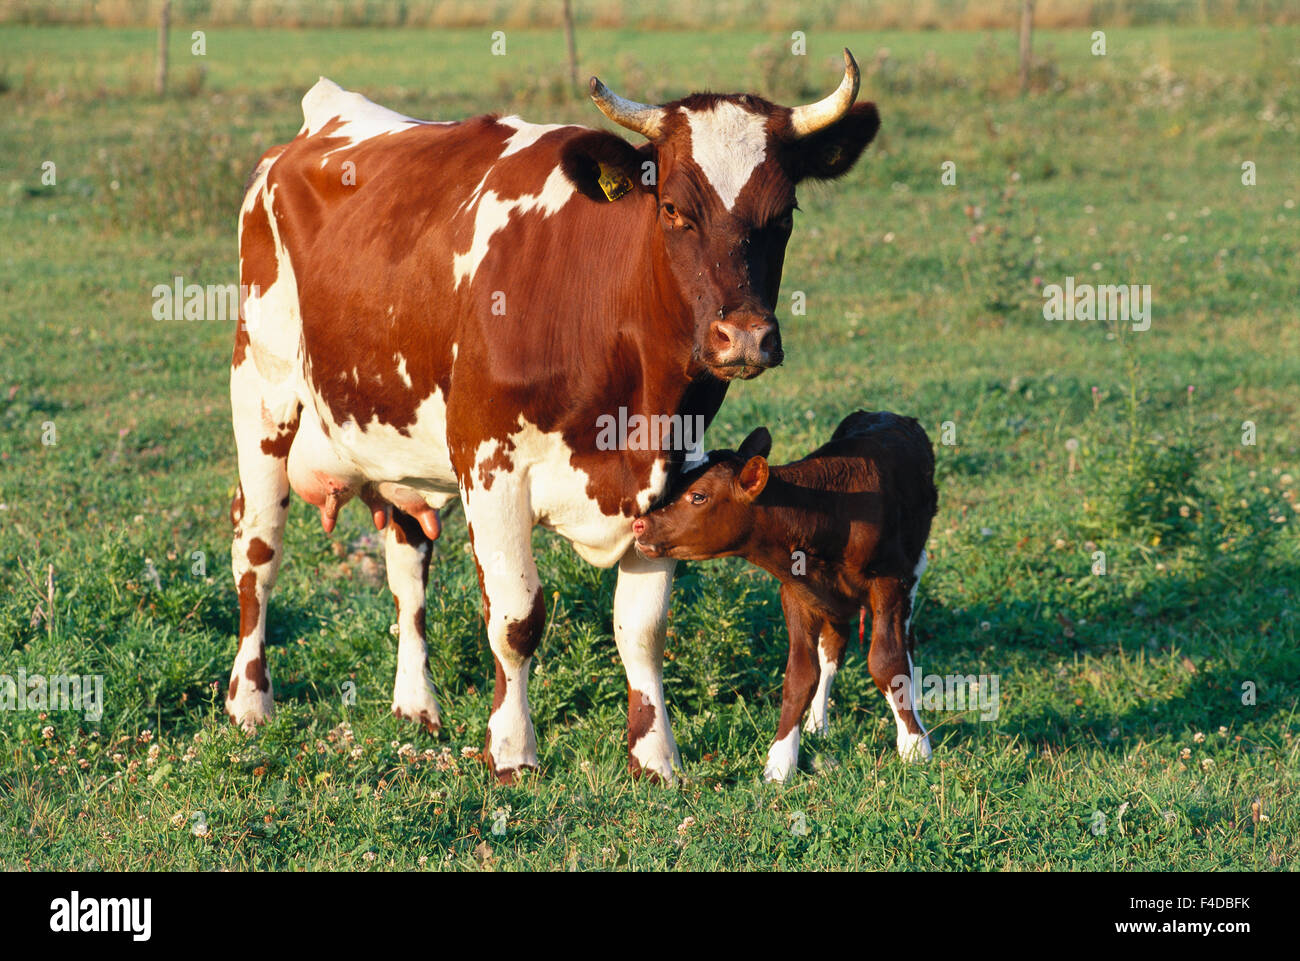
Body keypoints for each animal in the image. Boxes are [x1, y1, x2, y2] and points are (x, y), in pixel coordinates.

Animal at [226, 51, 880, 783]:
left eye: (784, 213)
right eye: (674, 208)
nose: (743, 337)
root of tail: (318, 121)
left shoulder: (666, 470)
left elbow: (642, 627)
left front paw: (655, 755)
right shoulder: (491, 465)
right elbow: (516, 618)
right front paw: (513, 751)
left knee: (406, 563)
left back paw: (416, 707)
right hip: (263, 392)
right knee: (257, 550)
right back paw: (250, 703)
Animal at [631, 411, 938, 781]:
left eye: (698, 496)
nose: (640, 525)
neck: (831, 512)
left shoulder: (890, 581)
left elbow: (887, 662)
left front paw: (914, 746)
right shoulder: (797, 592)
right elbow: (802, 675)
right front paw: (781, 760)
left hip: (912, 571)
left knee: (904, 642)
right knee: (833, 650)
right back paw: (818, 725)